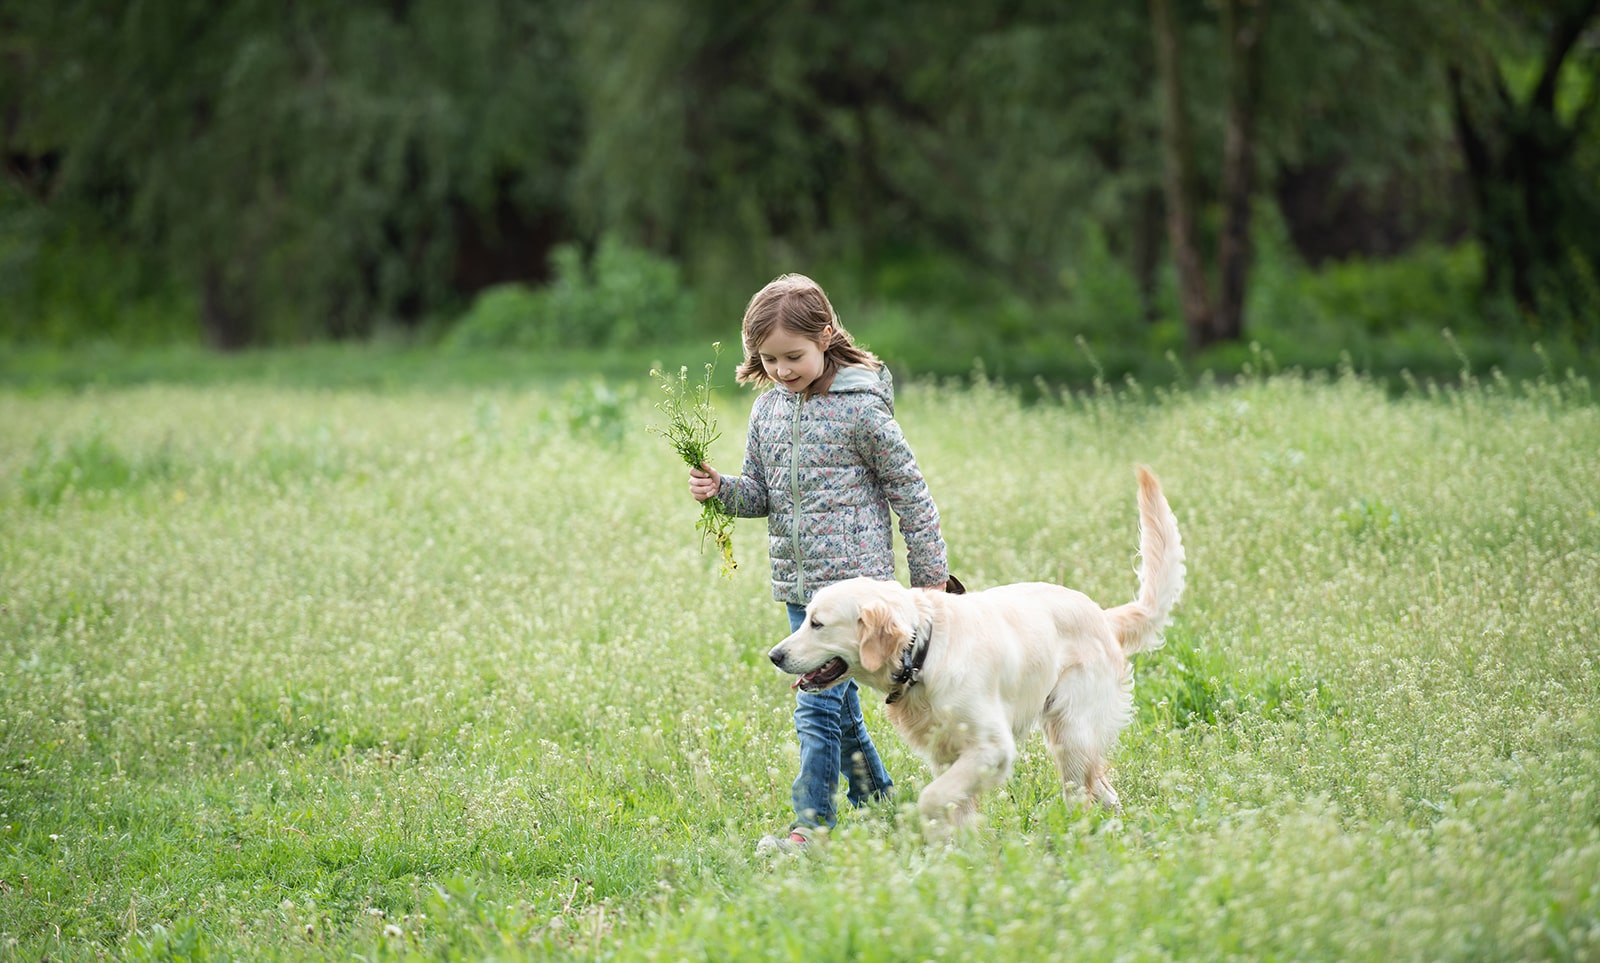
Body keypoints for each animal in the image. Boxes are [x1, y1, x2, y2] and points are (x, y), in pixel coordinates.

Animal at [768, 463, 1184, 831]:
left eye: (818, 624)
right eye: (805, 618)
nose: (775, 656)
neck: (922, 655)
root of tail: (1102, 614)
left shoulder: (992, 748)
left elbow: (932, 798)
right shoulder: (946, 753)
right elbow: (956, 810)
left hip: (1072, 732)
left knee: (1082, 792)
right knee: (1104, 791)